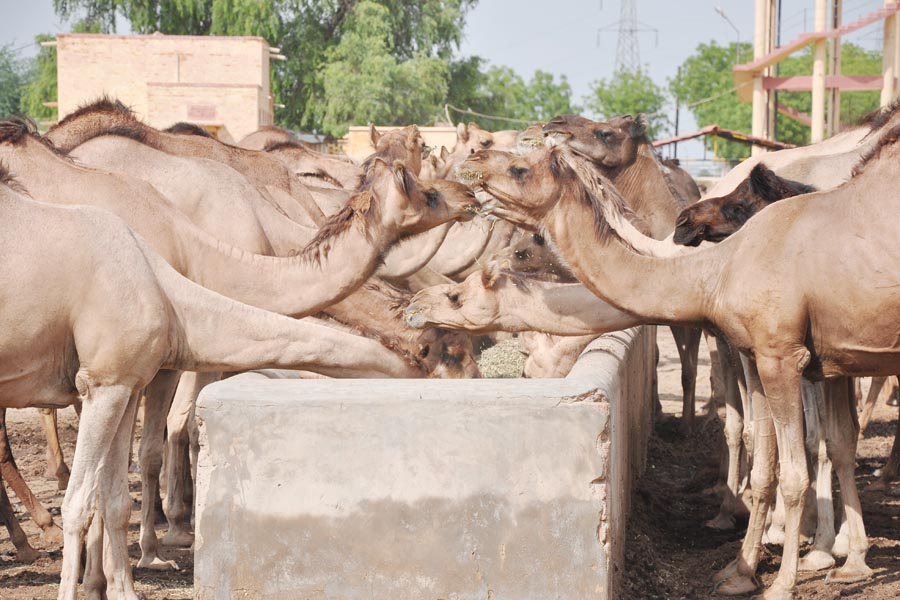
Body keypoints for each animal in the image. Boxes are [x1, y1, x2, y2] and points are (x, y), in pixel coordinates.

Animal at [458, 145, 900, 599]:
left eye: (519, 168)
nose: (473, 158)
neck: (716, 271)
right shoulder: (773, 354)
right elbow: (780, 461)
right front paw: (740, 573)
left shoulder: (782, 354)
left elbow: (797, 471)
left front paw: (785, 581)